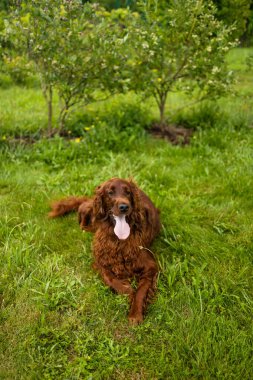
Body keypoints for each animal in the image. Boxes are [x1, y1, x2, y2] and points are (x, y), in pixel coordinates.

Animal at [49, 178, 160, 324]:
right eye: (110, 193)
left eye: (128, 192)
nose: (124, 207)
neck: (118, 239)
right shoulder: (101, 261)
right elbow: (110, 278)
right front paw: (127, 290)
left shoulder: (150, 266)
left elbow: (141, 290)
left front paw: (135, 313)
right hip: (89, 210)